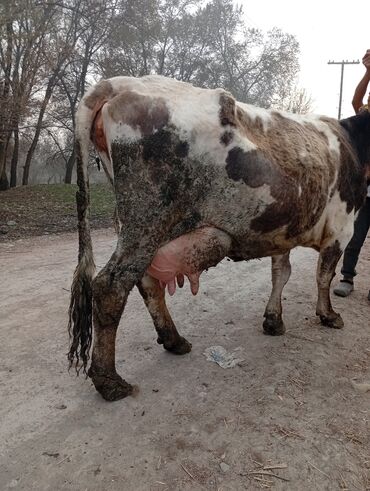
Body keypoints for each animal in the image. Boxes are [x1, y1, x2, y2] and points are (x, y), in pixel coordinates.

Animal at [67, 75, 370, 402]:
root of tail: (120, 83)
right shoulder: (341, 228)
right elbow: (324, 276)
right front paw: (328, 315)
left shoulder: (282, 231)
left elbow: (281, 274)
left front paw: (273, 320)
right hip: (146, 221)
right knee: (111, 286)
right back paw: (110, 381)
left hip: (139, 228)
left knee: (147, 284)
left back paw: (174, 340)